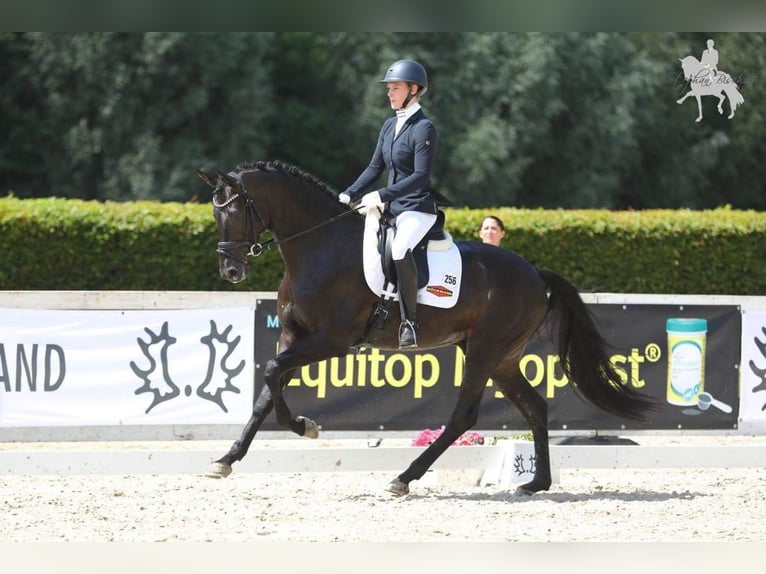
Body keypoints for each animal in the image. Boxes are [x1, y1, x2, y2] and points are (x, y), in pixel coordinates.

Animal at [196, 160, 656, 498]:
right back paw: (534, 483)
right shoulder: (294, 336)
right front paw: (225, 460)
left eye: (233, 210)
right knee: (535, 407)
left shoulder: (331, 341)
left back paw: (403, 478)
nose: (231, 271)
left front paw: (305, 426)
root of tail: (534, 274)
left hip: (486, 351)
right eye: (214, 211)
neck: (320, 248)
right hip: (500, 357)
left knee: (463, 417)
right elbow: (265, 393)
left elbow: (272, 373)